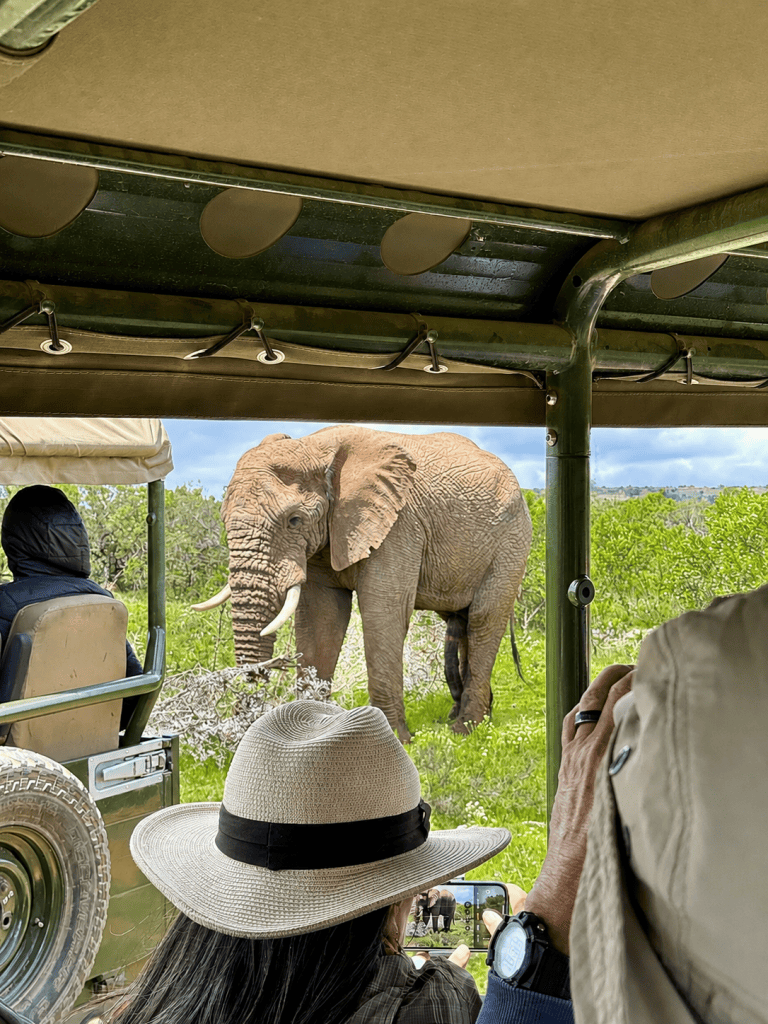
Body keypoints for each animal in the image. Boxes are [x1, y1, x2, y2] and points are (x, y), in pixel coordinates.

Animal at [192, 425, 532, 742]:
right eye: (223, 520)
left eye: (294, 520)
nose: (232, 737)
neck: (314, 447)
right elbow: (321, 618)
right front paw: (310, 734)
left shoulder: (399, 525)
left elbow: (383, 613)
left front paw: (393, 740)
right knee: (460, 621)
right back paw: (468, 717)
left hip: (511, 542)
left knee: (484, 619)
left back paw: (465, 729)